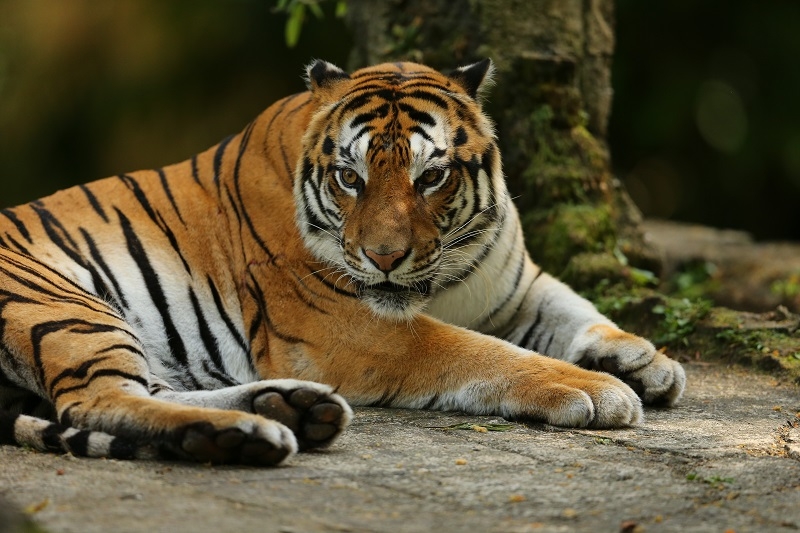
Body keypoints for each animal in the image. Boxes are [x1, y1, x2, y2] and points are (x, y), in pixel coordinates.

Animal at [0, 60, 688, 464]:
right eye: (349, 178)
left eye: (431, 176)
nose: (383, 258)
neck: (439, 282)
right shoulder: (350, 327)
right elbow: (480, 351)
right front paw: (596, 389)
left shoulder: (515, 285)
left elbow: (576, 309)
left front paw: (646, 362)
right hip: (66, 304)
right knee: (95, 399)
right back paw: (248, 434)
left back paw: (289, 411)